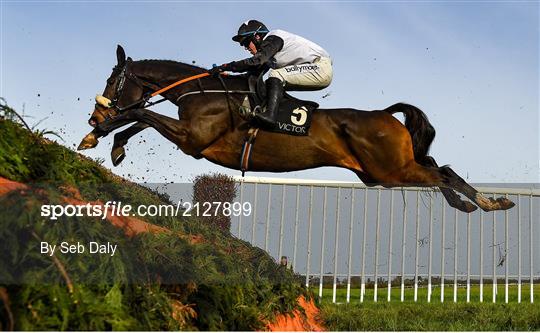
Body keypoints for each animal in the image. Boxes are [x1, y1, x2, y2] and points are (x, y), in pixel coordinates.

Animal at [79, 45, 516, 211]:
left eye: (112, 81)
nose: (93, 116)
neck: (204, 91)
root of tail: (384, 113)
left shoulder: (194, 140)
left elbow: (141, 115)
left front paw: (100, 135)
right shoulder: (189, 133)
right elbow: (139, 117)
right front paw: (107, 141)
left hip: (392, 170)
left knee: (441, 173)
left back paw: (485, 202)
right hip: (380, 172)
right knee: (441, 169)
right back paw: (479, 202)